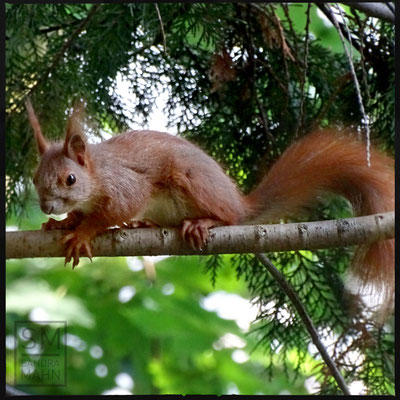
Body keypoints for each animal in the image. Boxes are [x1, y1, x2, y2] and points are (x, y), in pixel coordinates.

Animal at [26, 101, 396, 318]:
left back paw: (204, 222)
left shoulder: (125, 185)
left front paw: (83, 232)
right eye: (34, 178)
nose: (46, 205)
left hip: (192, 181)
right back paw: (144, 224)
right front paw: (61, 223)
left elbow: (117, 210)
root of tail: (238, 200)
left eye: (70, 179)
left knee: (228, 218)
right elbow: (81, 215)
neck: (97, 174)